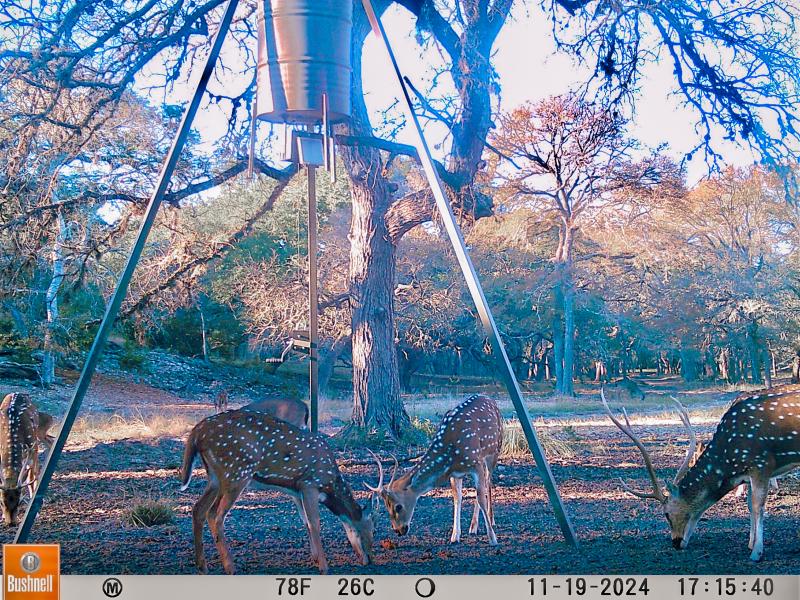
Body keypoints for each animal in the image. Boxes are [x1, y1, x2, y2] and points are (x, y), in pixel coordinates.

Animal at [0, 393, 55, 526]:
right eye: (2, 502)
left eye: (19, 501)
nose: (11, 523)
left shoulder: (32, 450)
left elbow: (31, 478)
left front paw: (36, 512)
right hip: (40, 435)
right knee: (50, 440)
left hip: (36, 439)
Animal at [180, 409, 378, 574]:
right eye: (372, 529)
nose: (370, 559)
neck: (330, 485)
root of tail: (196, 432)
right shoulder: (310, 483)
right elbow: (315, 522)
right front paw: (324, 566)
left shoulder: (296, 491)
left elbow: (305, 522)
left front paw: (315, 558)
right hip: (237, 472)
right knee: (215, 514)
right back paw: (230, 567)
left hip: (215, 477)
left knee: (198, 509)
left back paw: (202, 566)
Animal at [367, 394, 503, 545]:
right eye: (386, 506)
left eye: (398, 506)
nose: (398, 530)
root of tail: (490, 399)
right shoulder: (455, 473)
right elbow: (457, 498)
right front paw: (455, 536)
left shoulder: (476, 462)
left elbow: (480, 498)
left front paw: (493, 538)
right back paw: (473, 527)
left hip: (494, 450)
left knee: (488, 482)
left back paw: (492, 520)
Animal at [601, 386, 800, 561]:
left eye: (666, 514)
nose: (676, 543)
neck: (730, 460)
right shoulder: (748, 472)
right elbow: (750, 506)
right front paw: (750, 543)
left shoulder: (761, 463)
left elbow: (758, 506)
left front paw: (757, 553)